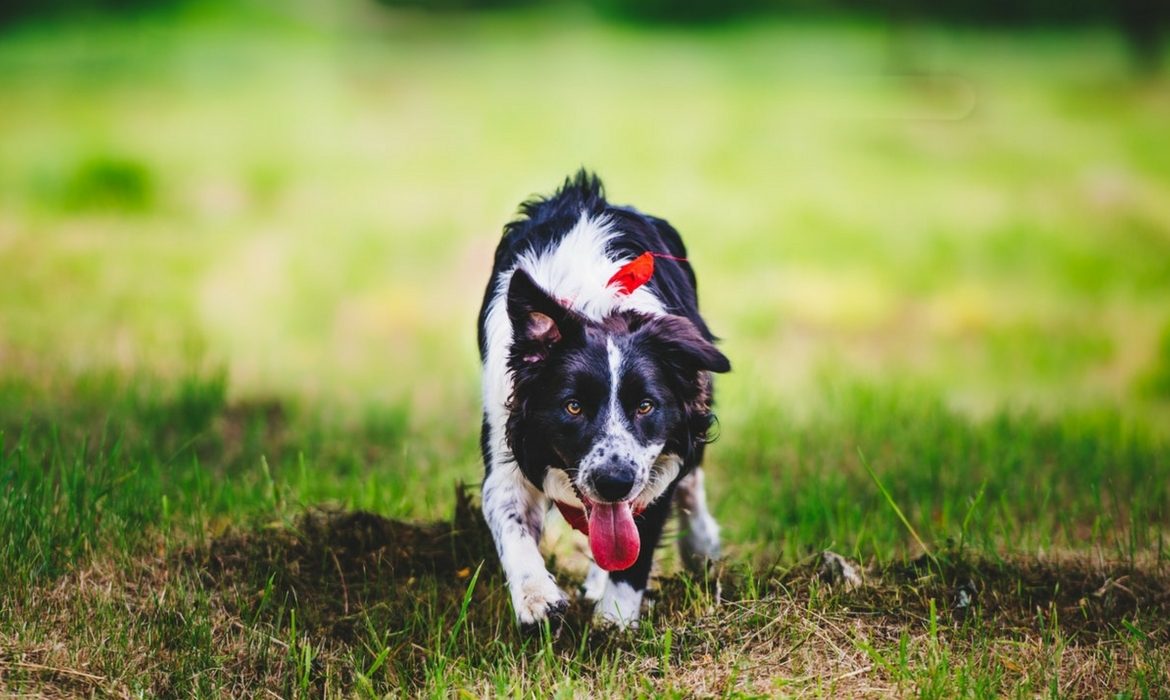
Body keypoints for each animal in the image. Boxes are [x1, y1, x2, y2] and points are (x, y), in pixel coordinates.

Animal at [477, 170, 730, 632]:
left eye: (645, 406)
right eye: (573, 406)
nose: (614, 482)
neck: (598, 311)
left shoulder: (657, 462)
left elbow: (639, 540)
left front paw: (615, 618)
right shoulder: (506, 429)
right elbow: (509, 515)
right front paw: (537, 598)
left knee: (692, 482)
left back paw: (700, 546)